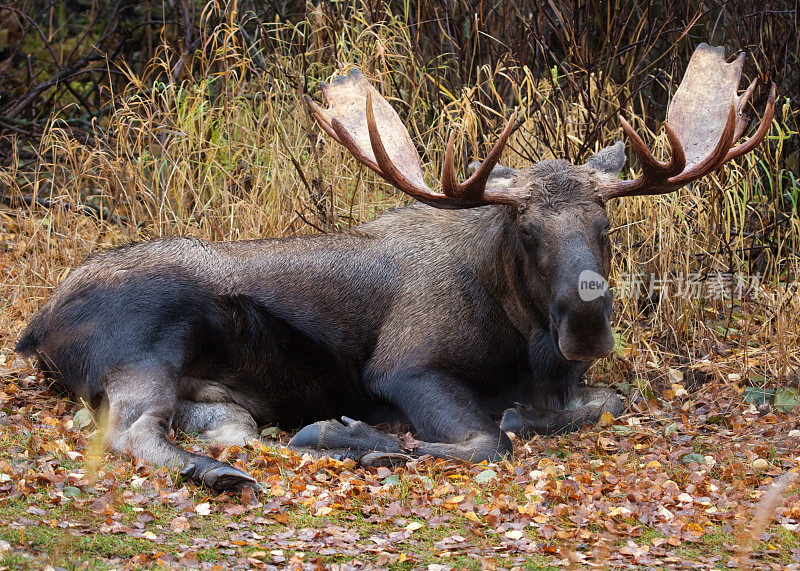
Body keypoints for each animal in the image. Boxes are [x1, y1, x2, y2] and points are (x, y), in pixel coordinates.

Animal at [14, 44, 776, 492]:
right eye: (527, 228)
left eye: (605, 224)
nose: (587, 322)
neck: (527, 348)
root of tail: (36, 322)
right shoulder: (405, 365)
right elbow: (489, 439)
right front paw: (361, 432)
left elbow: (605, 402)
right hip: (143, 343)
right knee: (129, 431)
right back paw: (248, 466)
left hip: (214, 393)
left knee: (228, 428)